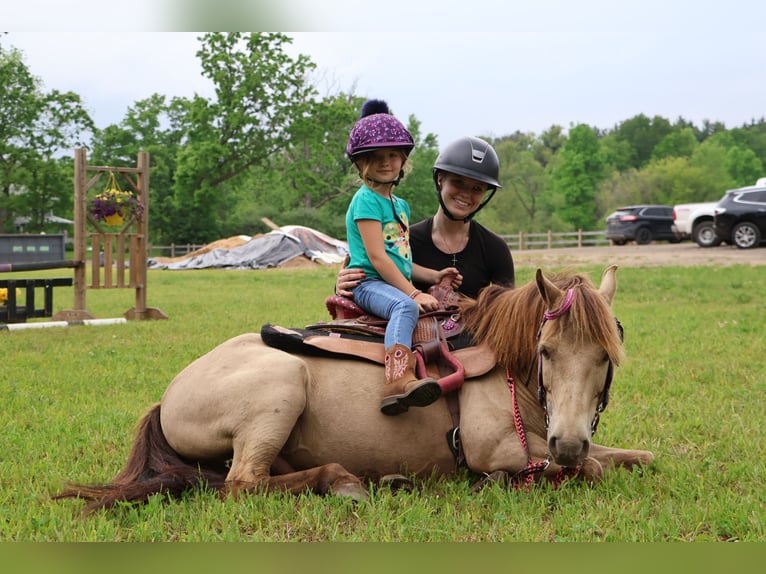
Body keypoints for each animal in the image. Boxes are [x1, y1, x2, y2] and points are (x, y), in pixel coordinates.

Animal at [55, 265, 654, 512]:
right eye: (546, 351)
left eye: (606, 357)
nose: (567, 442)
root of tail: (169, 395)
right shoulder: (497, 450)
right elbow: (592, 469)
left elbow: (634, 458)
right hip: (281, 385)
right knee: (243, 483)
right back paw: (345, 482)